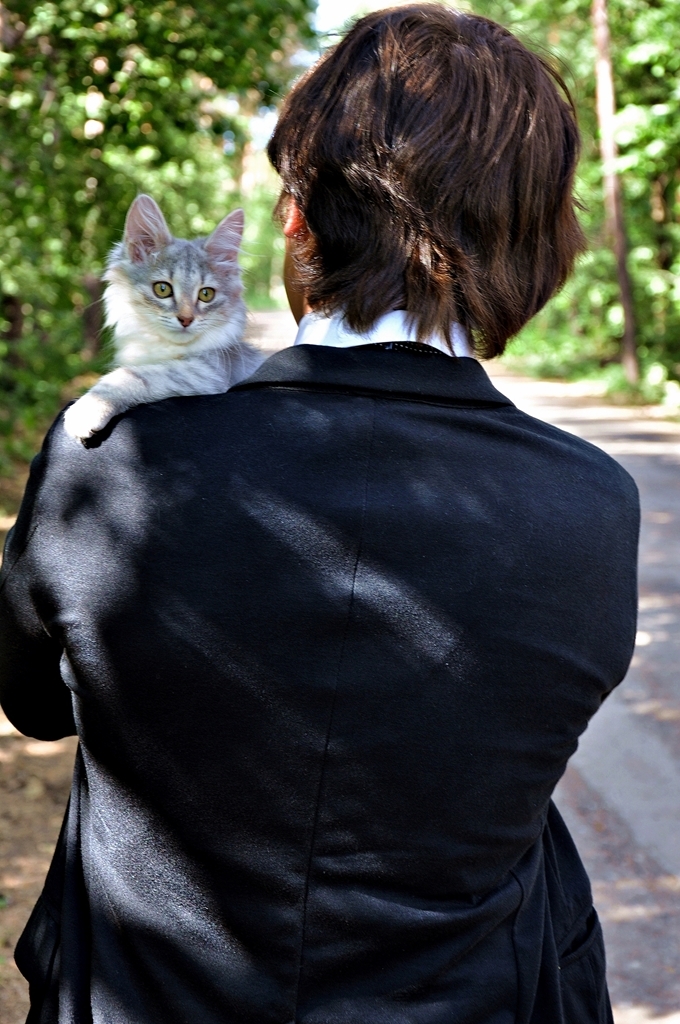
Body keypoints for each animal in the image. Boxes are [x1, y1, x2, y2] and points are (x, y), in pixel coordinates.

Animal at [63, 193, 264, 442]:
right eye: (162, 289)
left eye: (206, 294)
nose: (186, 319)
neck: (161, 346)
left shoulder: (208, 373)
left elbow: (134, 375)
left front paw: (89, 408)